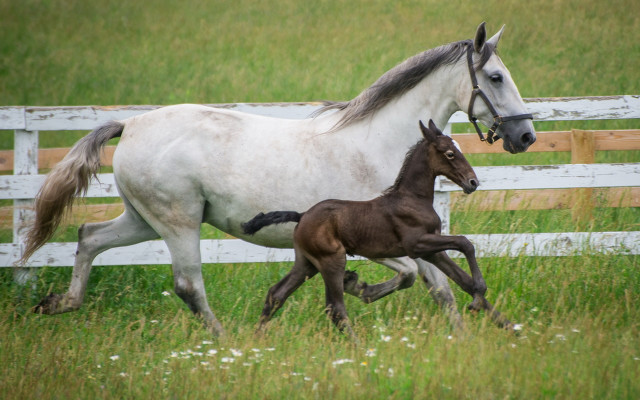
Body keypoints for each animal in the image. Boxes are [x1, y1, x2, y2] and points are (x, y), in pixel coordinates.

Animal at [242, 120, 511, 336]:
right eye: (450, 153)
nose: (473, 182)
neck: (412, 199)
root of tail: (303, 215)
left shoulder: (432, 251)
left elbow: (463, 280)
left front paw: (508, 325)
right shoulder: (417, 244)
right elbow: (465, 243)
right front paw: (479, 299)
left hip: (307, 263)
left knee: (277, 294)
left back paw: (257, 338)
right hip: (331, 260)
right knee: (335, 308)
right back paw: (357, 346)